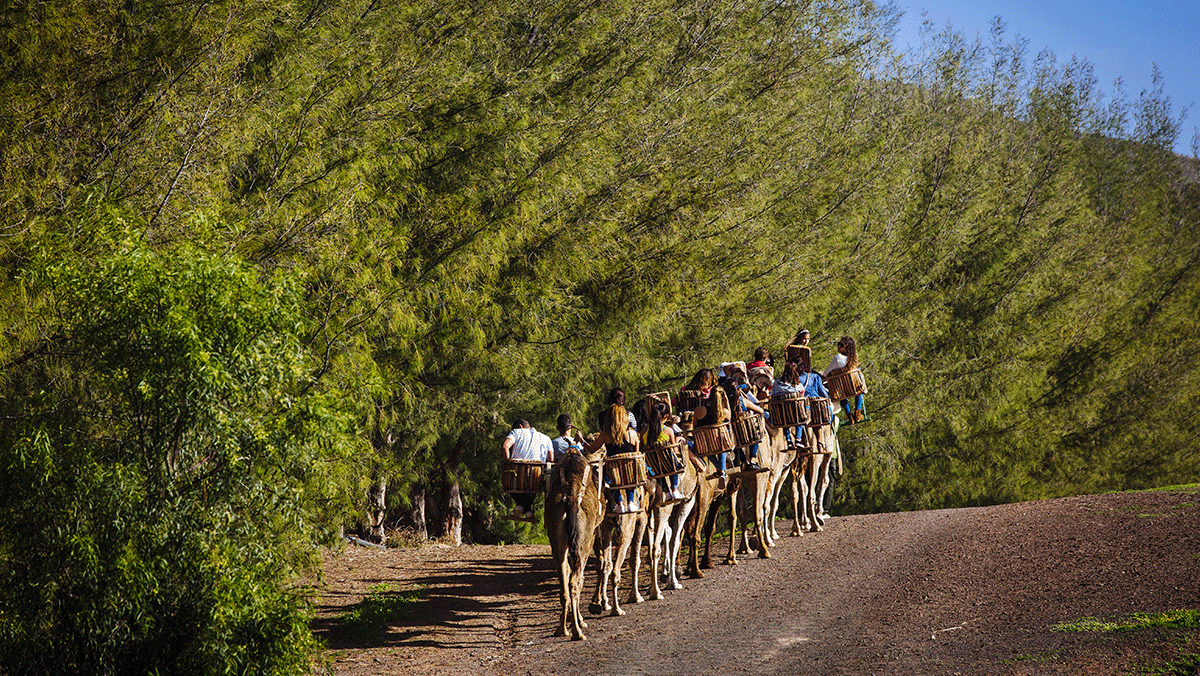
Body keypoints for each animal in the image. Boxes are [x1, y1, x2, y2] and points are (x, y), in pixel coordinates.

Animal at [545, 449, 603, 640]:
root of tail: (570, 500)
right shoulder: (593, 534)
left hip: (557, 542)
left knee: (564, 580)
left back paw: (561, 629)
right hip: (583, 541)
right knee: (574, 581)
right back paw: (577, 632)